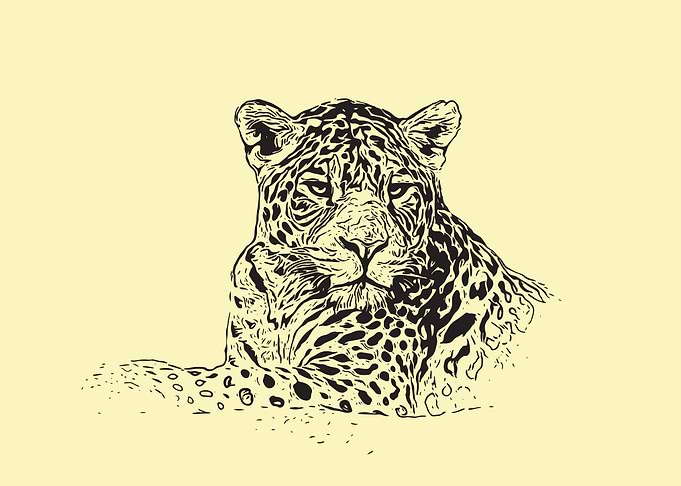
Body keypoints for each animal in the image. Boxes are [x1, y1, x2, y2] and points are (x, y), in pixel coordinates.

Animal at [85, 98, 550, 417]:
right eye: (320, 187)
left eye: (397, 189)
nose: (366, 245)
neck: (287, 296)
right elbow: (241, 372)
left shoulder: (368, 380)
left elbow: (241, 383)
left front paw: (134, 378)